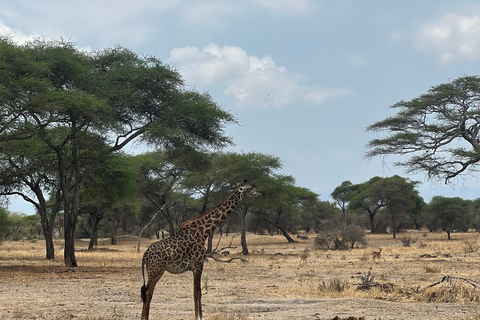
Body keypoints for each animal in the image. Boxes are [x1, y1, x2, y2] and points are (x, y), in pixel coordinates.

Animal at [139, 181, 266, 318]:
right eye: (251, 188)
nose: (263, 193)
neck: (204, 232)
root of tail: (145, 255)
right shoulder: (198, 263)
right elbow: (197, 293)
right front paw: (199, 317)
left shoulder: (197, 265)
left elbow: (198, 292)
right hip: (156, 270)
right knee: (148, 292)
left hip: (152, 270)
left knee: (146, 292)